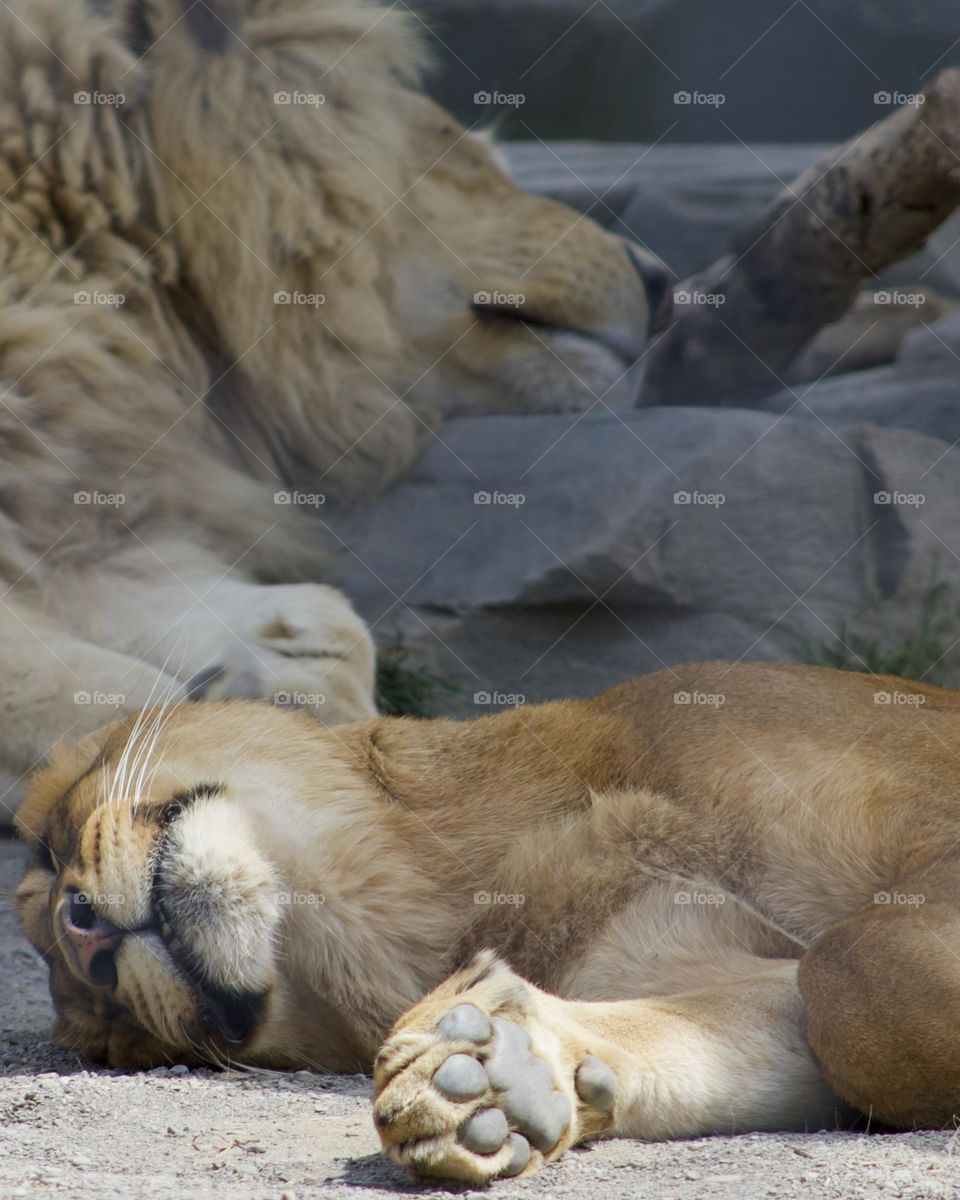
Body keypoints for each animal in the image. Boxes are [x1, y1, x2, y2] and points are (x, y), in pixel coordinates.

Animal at [15, 660, 960, 1182]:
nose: (85, 938)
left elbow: (854, 961)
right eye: (124, 1037)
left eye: (45, 848)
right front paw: (489, 1077)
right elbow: (805, 1012)